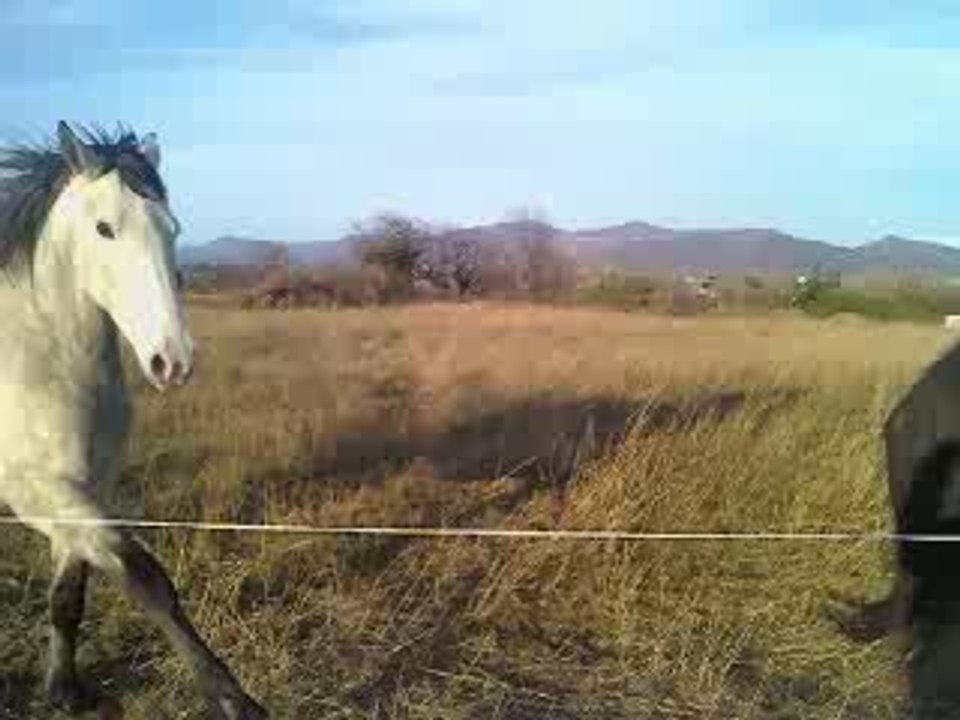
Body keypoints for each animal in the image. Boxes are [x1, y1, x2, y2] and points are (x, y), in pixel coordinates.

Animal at [0, 122, 267, 719]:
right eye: (104, 228)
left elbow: (68, 596)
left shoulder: (87, 485)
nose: (174, 361)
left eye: (174, 229)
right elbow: (144, 575)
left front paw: (63, 690)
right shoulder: (39, 493)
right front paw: (233, 699)